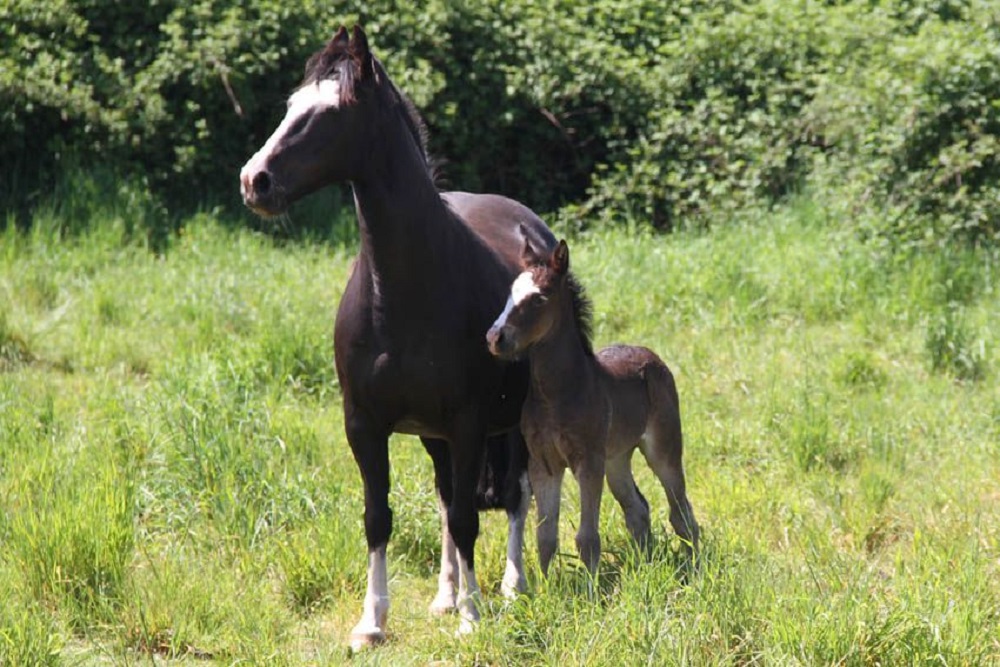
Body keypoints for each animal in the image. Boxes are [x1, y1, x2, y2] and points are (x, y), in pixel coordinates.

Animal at [239, 26, 560, 648]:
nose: (254, 181)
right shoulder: (365, 425)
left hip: (509, 424)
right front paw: (373, 622)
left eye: (328, 113)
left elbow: (468, 517)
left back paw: (512, 585)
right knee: (445, 495)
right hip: (434, 436)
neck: (403, 292)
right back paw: (445, 594)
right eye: (292, 105)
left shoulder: (468, 423)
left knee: (514, 494)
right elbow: (380, 516)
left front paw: (472, 617)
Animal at [488, 235, 700, 580]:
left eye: (539, 298)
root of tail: (651, 356)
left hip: (662, 448)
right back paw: (646, 567)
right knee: (637, 508)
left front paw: (590, 590)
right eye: (510, 293)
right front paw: (547, 589)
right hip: (616, 458)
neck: (557, 394)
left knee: (681, 511)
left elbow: (586, 537)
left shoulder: (587, 461)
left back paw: (694, 567)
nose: (495, 337)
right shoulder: (543, 464)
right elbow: (545, 536)